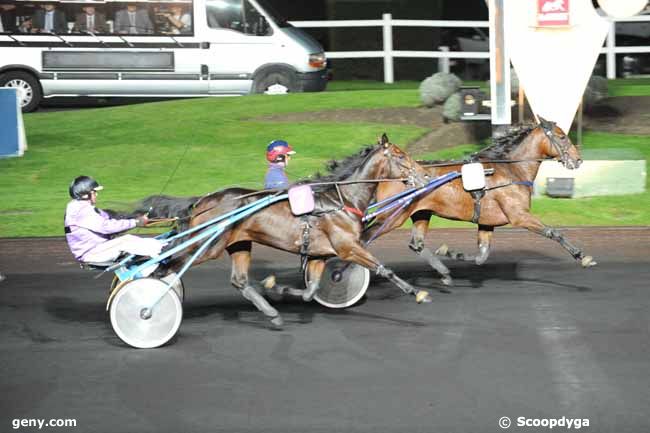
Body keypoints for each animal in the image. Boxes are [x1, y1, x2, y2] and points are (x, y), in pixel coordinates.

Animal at [144, 135, 432, 328]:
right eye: (400, 154)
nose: (425, 176)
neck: (341, 200)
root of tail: (203, 201)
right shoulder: (348, 247)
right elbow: (385, 269)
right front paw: (418, 293)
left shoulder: (319, 254)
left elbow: (310, 291)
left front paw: (276, 287)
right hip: (206, 245)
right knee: (166, 265)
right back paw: (149, 301)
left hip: (238, 243)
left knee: (239, 280)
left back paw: (272, 314)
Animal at [362, 118, 596, 286]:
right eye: (562, 137)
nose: (578, 160)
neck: (510, 169)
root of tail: (384, 176)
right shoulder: (519, 216)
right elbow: (553, 232)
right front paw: (581, 256)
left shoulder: (487, 222)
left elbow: (481, 256)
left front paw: (449, 252)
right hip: (391, 217)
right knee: (363, 238)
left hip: (421, 213)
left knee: (416, 244)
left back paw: (444, 273)